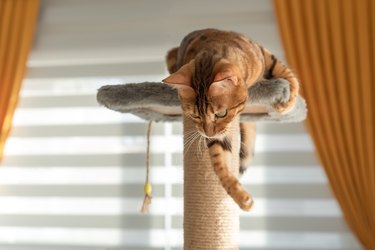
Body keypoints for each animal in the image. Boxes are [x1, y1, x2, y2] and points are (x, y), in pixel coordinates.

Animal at [163, 28, 302, 210]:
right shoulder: (218, 136)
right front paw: (240, 197)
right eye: (195, 115)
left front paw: (288, 101)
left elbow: (284, 71)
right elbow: (219, 163)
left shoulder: (263, 55)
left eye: (221, 113)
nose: (208, 133)